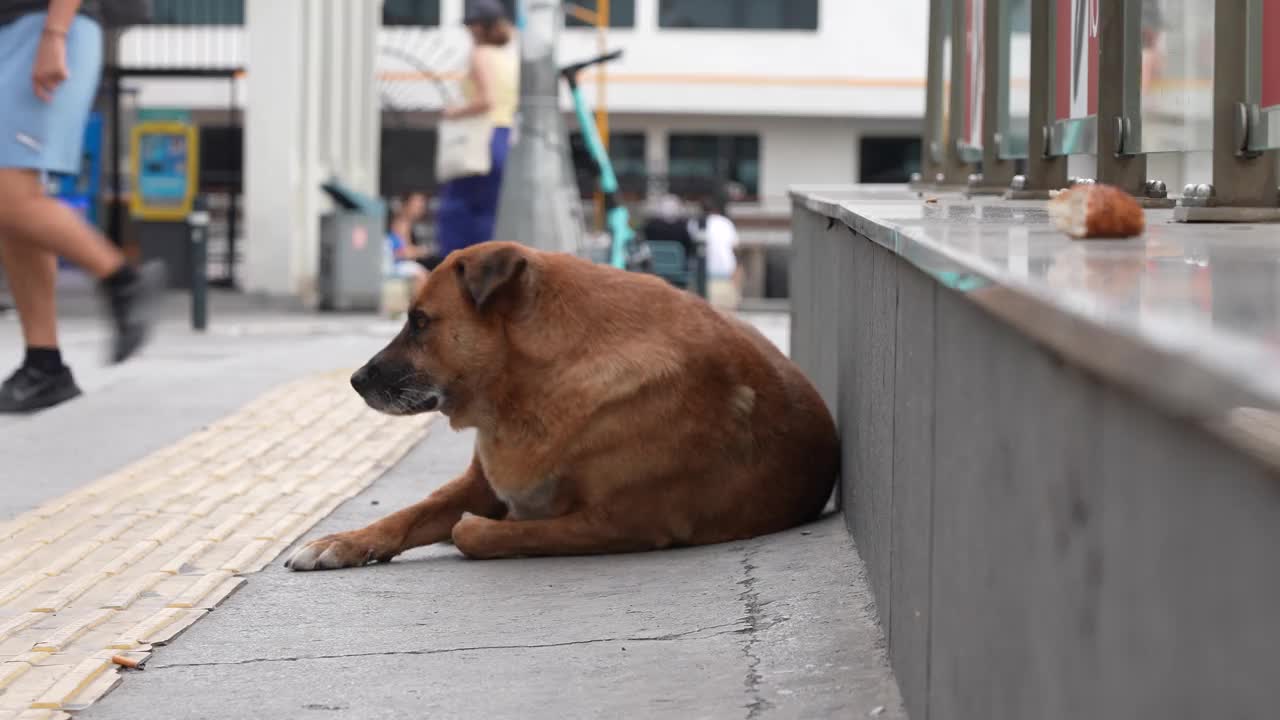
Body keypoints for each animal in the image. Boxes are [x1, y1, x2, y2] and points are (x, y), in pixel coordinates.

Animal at [285, 243, 834, 568]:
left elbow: (480, 534)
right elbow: (409, 514)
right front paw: (345, 542)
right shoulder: (478, 483)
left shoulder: (627, 521)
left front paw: (483, 528)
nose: (355, 381)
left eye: (420, 322)